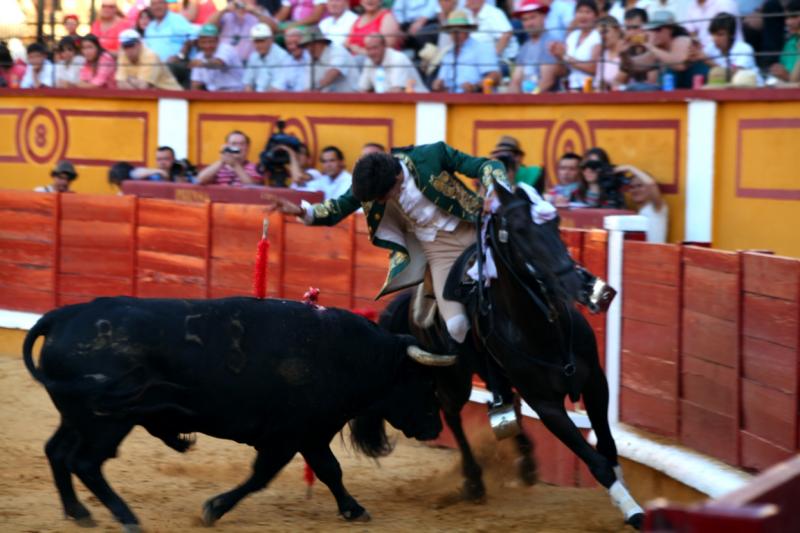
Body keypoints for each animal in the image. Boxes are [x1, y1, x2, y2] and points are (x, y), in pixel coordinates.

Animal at [23, 298, 450, 528]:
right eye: (423, 382)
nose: (434, 426)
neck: (347, 356)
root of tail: (64, 315)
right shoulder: (289, 435)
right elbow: (263, 476)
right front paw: (213, 509)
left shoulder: (311, 434)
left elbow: (330, 471)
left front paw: (353, 509)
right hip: (107, 422)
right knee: (86, 462)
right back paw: (127, 518)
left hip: (78, 416)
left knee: (57, 451)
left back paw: (78, 512)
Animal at [378, 183, 648, 528]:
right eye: (520, 230)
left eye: (556, 223)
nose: (588, 288)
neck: (545, 328)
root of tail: (413, 294)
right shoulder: (547, 406)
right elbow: (595, 460)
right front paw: (633, 511)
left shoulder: (596, 384)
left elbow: (608, 445)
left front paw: (625, 495)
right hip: (454, 378)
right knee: (451, 413)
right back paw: (474, 482)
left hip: (492, 372)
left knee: (507, 403)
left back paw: (528, 463)